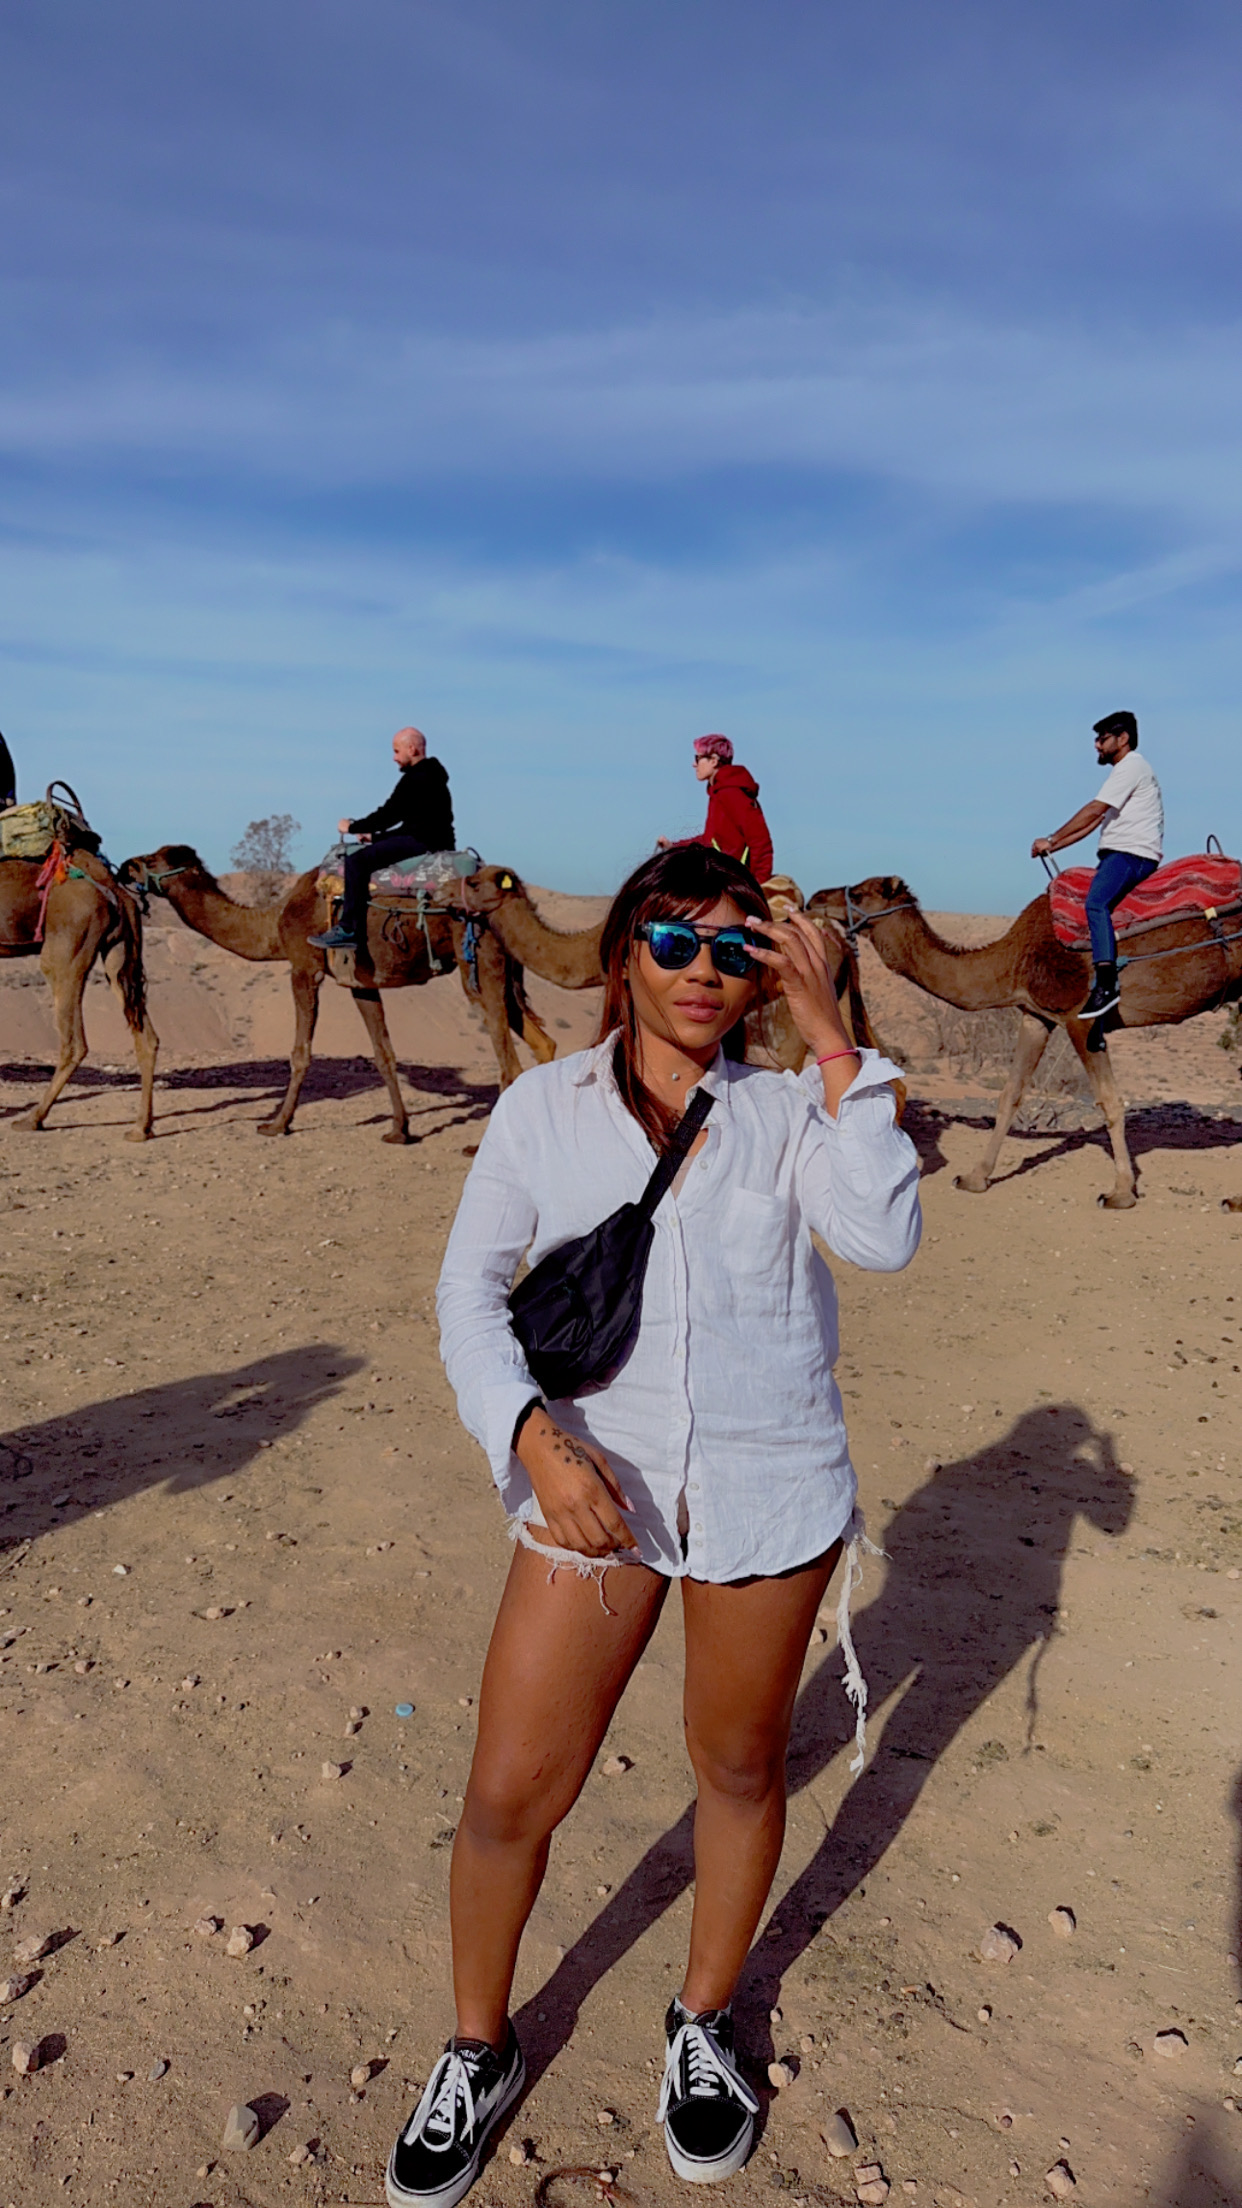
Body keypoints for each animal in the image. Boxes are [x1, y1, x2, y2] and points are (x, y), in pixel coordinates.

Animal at [0, 849, 158, 1138]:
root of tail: (115, 891)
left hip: (66, 950)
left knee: (75, 1043)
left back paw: (33, 1119)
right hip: (119, 955)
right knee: (146, 1036)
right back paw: (141, 1127)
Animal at [119, 847, 556, 1142]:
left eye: (154, 858)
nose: (126, 865)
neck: (274, 923)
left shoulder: (304, 968)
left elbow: (300, 1053)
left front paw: (277, 1123)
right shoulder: (361, 982)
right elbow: (383, 1053)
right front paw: (400, 1130)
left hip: (478, 964)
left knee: (509, 1057)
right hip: (506, 971)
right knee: (543, 1043)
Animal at [809, 874, 1242, 1208]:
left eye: (859, 893)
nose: (815, 899)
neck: (1014, 959)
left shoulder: (1079, 1016)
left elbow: (1109, 1101)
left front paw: (1120, 1192)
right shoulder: (1037, 1016)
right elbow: (1010, 1094)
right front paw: (974, 1177)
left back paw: (1233, 1201)